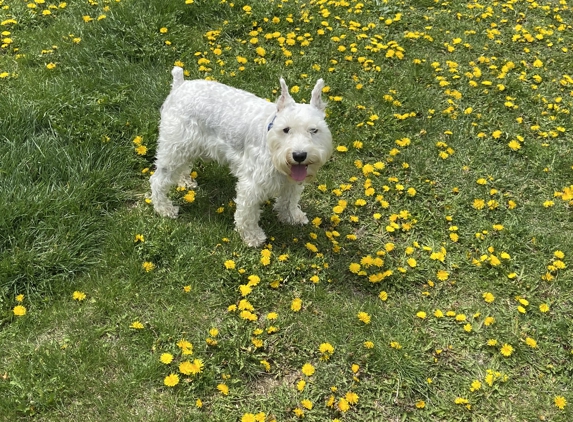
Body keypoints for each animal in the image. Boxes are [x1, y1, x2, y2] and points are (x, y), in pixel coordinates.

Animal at [150, 67, 332, 246]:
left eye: (314, 130)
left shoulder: (291, 181)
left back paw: (185, 182)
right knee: (157, 180)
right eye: (286, 129)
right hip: (174, 148)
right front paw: (253, 237)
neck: (270, 137)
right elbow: (247, 214)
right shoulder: (251, 185)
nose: (299, 155)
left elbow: (289, 200)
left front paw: (292, 217)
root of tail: (179, 85)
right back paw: (165, 209)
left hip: (186, 149)